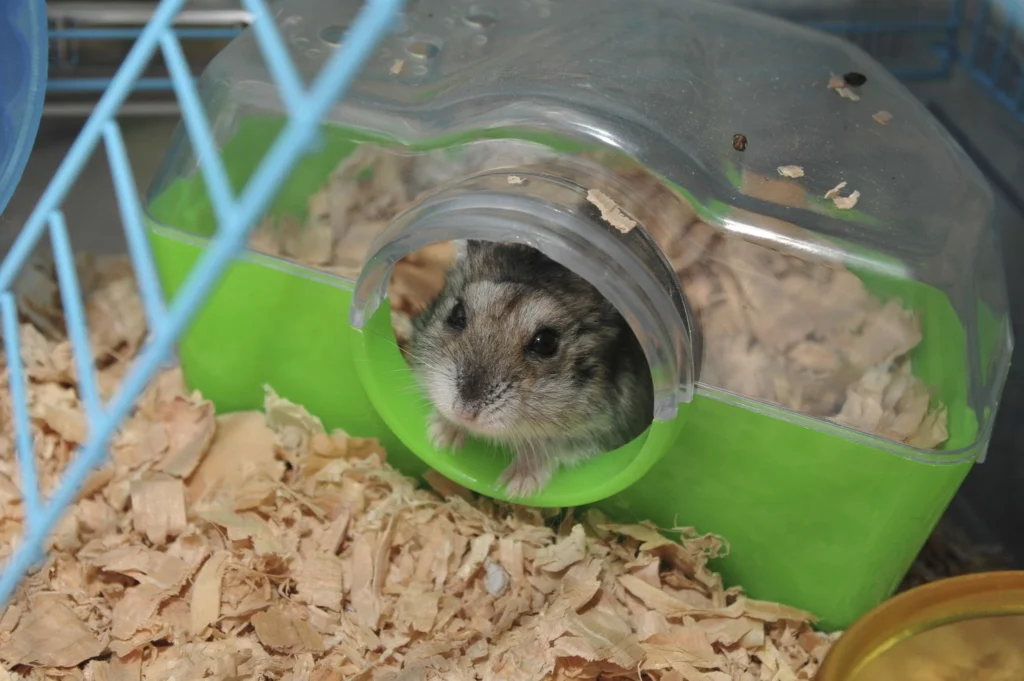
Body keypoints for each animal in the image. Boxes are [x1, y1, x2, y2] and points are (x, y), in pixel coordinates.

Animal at [409, 239, 654, 499]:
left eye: (545, 342)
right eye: (457, 314)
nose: (464, 413)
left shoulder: (601, 431)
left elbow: (548, 446)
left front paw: (514, 487)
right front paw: (439, 437)